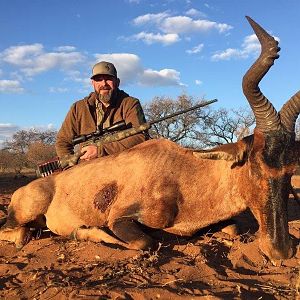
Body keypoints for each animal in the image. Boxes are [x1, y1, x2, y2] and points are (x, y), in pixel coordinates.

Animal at [0, 17, 298, 260]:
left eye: (291, 170)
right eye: (255, 166)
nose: (281, 251)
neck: (183, 171)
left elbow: (234, 229)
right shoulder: (122, 219)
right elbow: (144, 242)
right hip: (24, 213)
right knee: (16, 233)